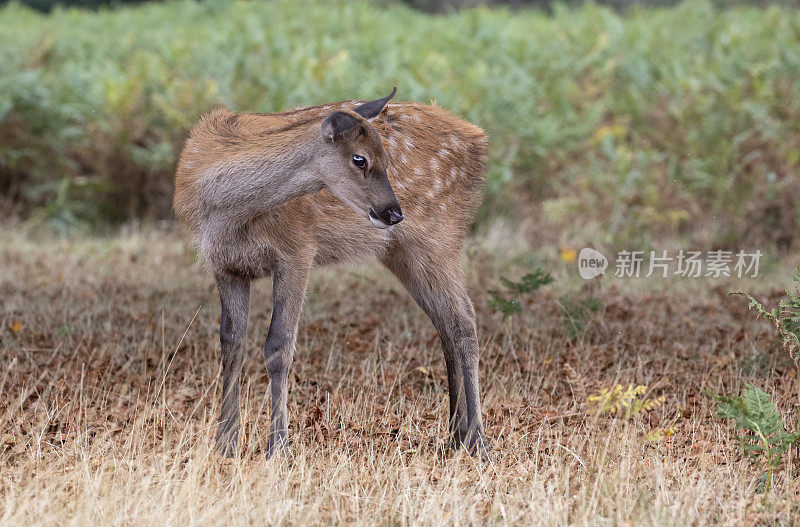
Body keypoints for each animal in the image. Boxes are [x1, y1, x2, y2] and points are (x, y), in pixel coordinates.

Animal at [173, 88, 490, 460]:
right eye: (360, 159)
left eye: (385, 156)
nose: (394, 212)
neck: (228, 214)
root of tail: (478, 139)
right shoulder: (225, 264)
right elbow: (231, 343)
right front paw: (225, 445)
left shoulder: (296, 249)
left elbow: (279, 346)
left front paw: (278, 448)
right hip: (403, 251)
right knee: (446, 323)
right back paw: (456, 435)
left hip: (439, 235)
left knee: (465, 320)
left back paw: (479, 440)